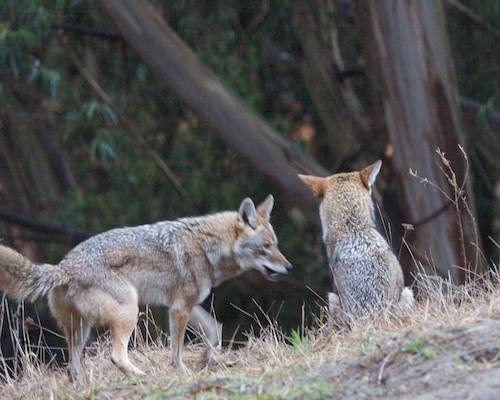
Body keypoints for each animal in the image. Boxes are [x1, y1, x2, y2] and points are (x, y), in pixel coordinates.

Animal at [0, 195, 291, 378]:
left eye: (276, 245)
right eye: (267, 247)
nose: (289, 268)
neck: (207, 247)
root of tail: (63, 267)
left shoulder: (184, 305)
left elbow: (215, 330)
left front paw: (207, 357)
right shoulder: (179, 309)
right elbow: (176, 350)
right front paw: (183, 372)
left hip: (82, 329)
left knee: (73, 368)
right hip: (129, 311)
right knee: (116, 356)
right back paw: (140, 374)